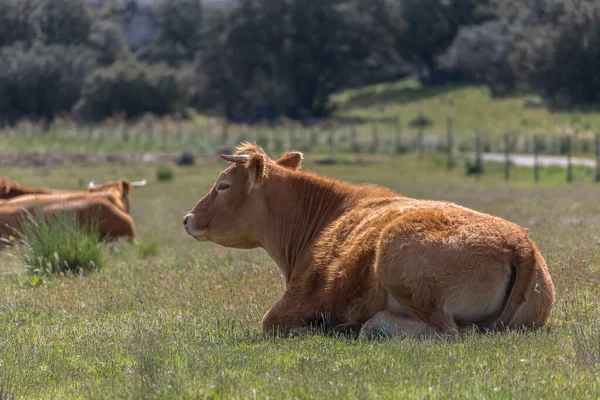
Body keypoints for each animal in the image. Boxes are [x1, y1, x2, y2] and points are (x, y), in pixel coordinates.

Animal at [180, 144, 556, 338]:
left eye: (223, 185)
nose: (187, 218)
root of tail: (520, 242)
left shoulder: (294, 301)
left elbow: (271, 323)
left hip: (399, 262)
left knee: (446, 330)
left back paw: (361, 327)